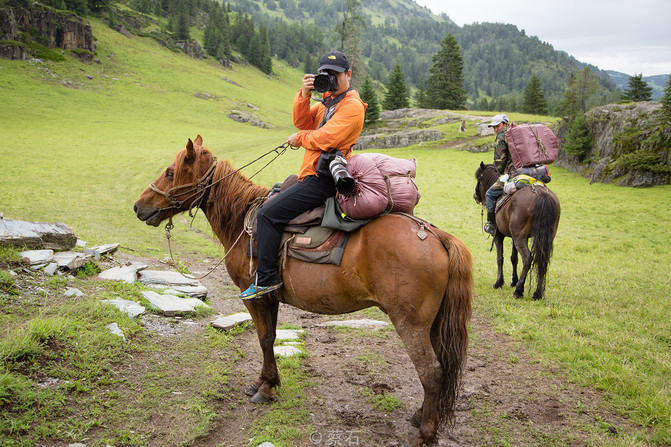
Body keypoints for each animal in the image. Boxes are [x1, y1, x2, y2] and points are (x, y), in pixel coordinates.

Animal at [134, 137, 476, 447]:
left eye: (170, 172)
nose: (138, 207)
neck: (242, 220)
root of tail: (435, 234)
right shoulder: (270, 298)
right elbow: (270, 337)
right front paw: (266, 381)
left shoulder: (256, 296)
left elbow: (264, 338)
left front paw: (266, 387)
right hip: (432, 324)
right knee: (441, 370)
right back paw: (421, 417)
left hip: (411, 324)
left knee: (431, 372)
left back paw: (425, 434)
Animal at [476, 162, 564, 300]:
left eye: (479, 179)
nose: (475, 196)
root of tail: (541, 194)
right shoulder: (514, 237)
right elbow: (514, 258)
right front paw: (513, 281)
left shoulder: (499, 235)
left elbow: (500, 258)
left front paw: (499, 282)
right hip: (543, 237)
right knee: (542, 259)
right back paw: (537, 293)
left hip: (520, 238)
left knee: (528, 258)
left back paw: (519, 290)